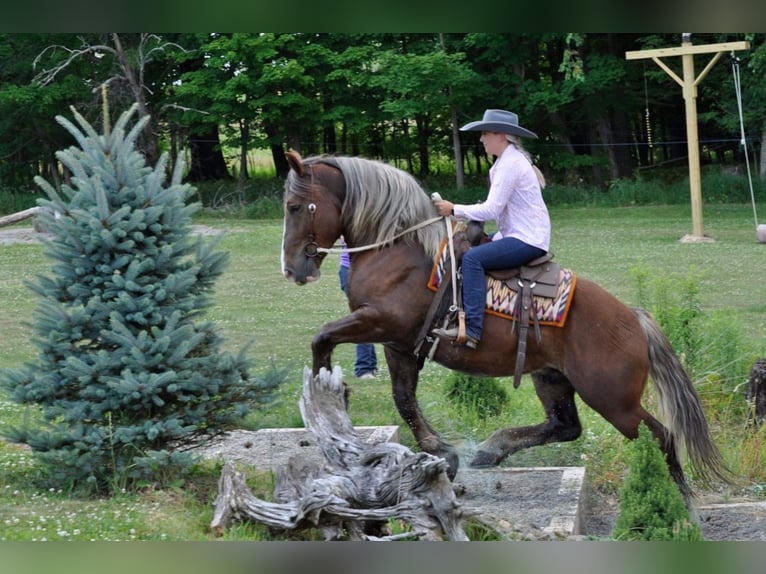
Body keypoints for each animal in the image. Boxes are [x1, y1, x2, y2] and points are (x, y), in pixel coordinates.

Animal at [280, 150, 732, 504]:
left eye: (295, 206)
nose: (292, 268)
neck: (398, 249)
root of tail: (633, 318)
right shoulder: (399, 344)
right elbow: (403, 399)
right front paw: (443, 454)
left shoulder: (379, 322)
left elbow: (323, 338)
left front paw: (327, 407)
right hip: (551, 378)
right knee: (565, 426)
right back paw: (491, 450)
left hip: (614, 400)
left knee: (663, 436)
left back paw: (684, 505)